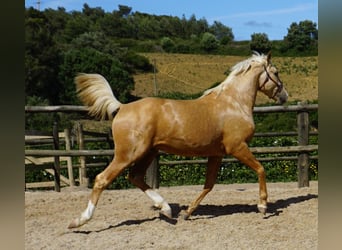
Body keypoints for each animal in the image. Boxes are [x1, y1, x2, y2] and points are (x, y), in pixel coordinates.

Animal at [68, 51, 288, 229]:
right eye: (276, 72)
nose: (285, 96)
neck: (233, 103)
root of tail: (122, 107)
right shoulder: (237, 147)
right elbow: (261, 169)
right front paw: (263, 206)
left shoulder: (216, 154)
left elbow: (209, 185)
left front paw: (188, 213)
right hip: (128, 154)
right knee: (102, 179)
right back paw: (79, 221)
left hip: (149, 152)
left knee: (135, 177)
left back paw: (166, 209)